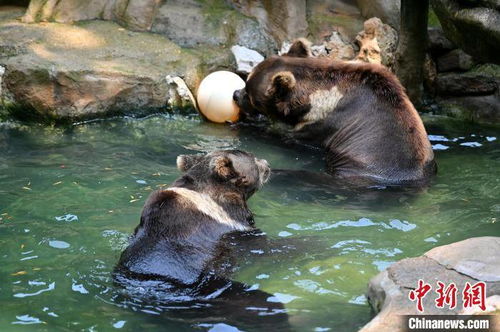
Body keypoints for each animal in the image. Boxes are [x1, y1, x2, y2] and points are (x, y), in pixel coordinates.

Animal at [232, 38, 436, 187]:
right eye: (247, 80)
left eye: (250, 94)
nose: (235, 95)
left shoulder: (324, 125)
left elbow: (288, 139)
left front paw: (248, 126)